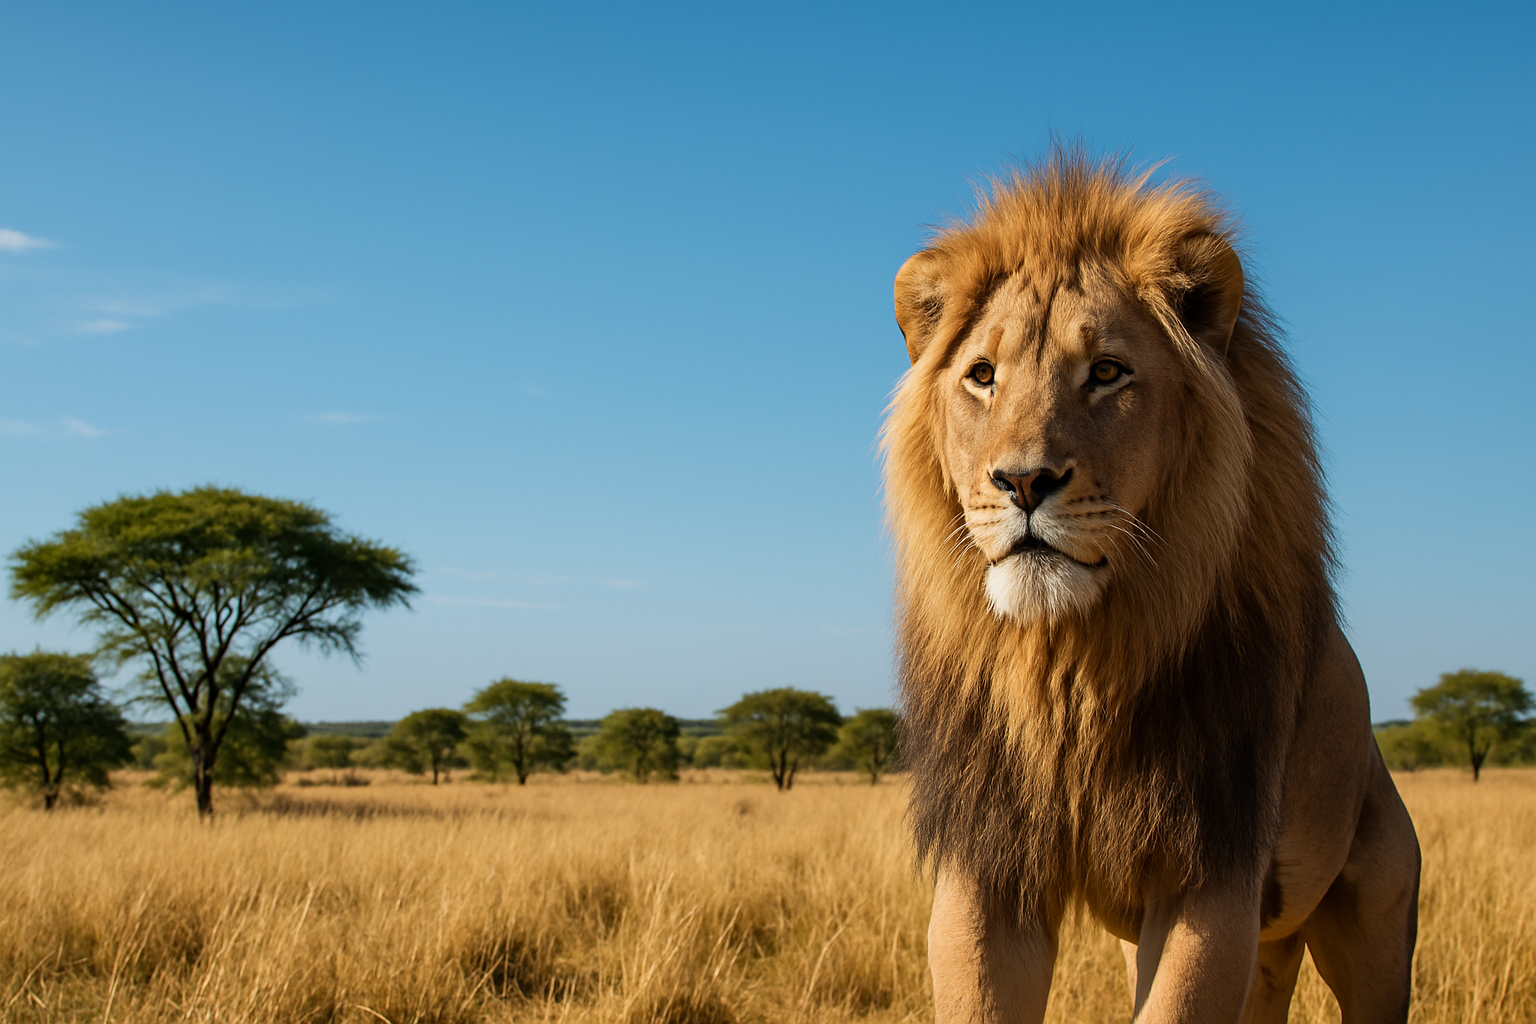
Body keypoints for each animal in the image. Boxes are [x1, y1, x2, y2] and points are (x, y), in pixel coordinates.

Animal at [883, 150, 1420, 1023]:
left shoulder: (1210, 877)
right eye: (982, 376)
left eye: (1107, 373)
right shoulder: (987, 869)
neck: (1072, 667)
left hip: (1378, 915)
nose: (1022, 481)